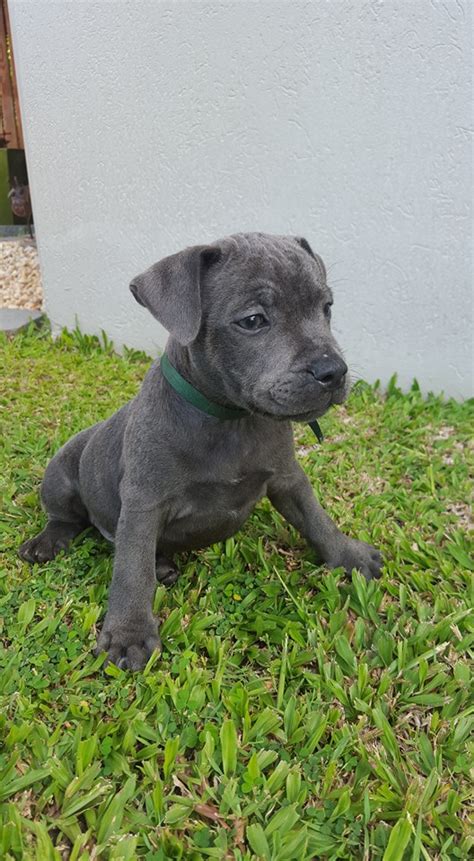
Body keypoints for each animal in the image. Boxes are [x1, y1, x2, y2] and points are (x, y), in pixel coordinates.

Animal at [19, 232, 382, 668]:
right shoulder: (143, 504)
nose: (333, 371)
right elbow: (131, 570)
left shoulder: (288, 479)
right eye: (253, 320)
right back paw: (47, 543)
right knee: (68, 519)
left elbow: (317, 519)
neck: (231, 419)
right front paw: (128, 635)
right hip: (60, 474)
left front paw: (350, 556)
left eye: (326, 307)